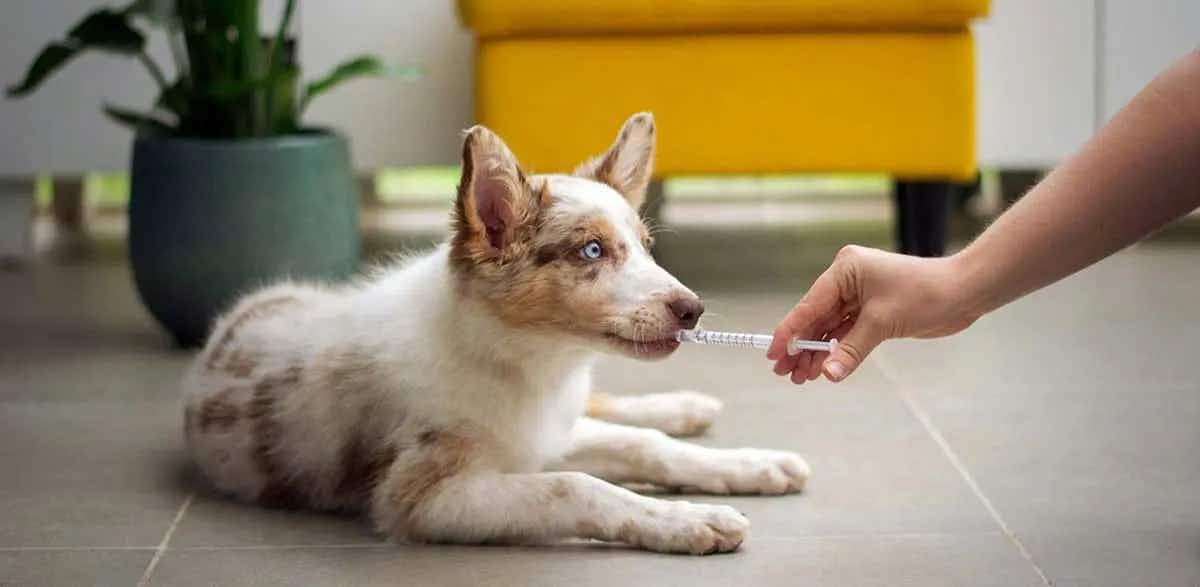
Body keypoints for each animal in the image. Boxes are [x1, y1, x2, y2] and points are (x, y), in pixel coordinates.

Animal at [182, 111, 811, 554]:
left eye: (645, 247)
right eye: (591, 250)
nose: (692, 310)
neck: (526, 362)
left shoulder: (544, 433)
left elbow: (644, 446)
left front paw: (748, 466)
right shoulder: (424, 497)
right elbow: (577, 485)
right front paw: (690, 520)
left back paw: (686, 408)